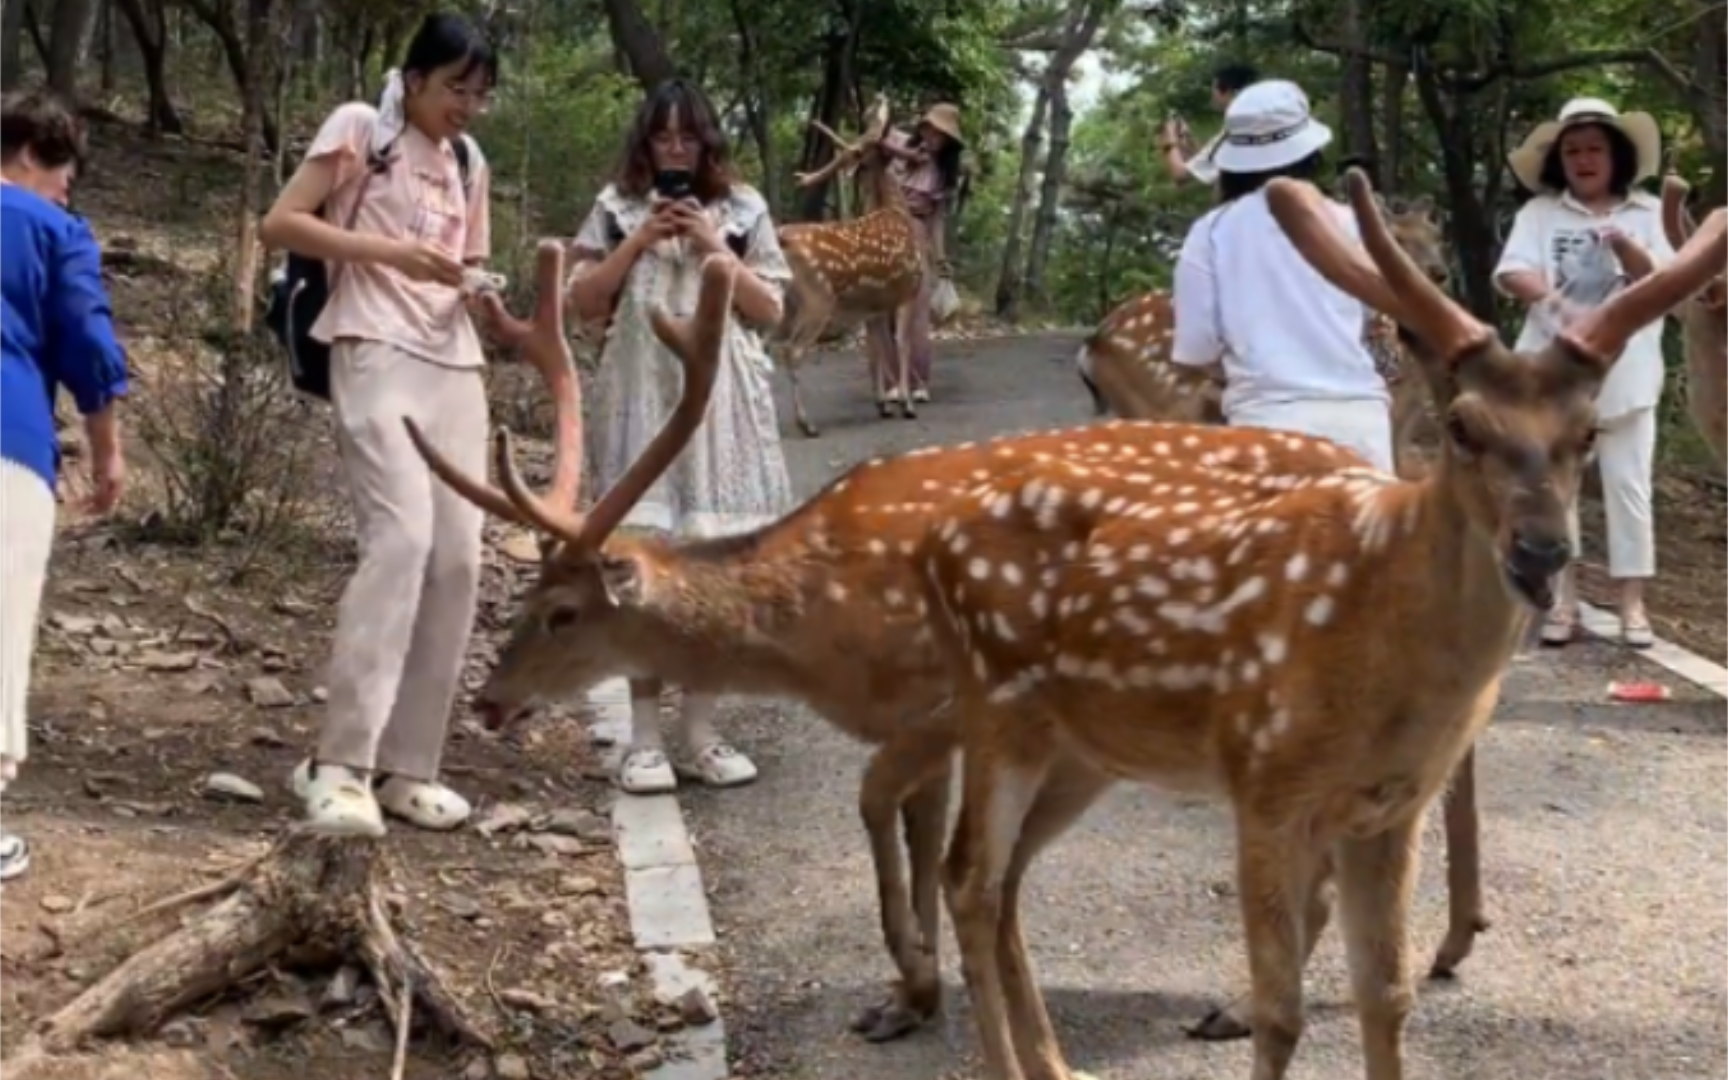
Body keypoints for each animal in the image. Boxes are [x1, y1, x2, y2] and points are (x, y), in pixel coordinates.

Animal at [774, 94, 926, 433]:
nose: (881, 97)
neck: (894, 210)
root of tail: (779, 237)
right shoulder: (909, 290)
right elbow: (904, 344)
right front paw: (906, 403)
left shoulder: (873, 305)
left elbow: (877, 349)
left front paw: (883, 403)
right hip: (818, 299)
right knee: (791, 351)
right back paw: (807, 424)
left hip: (786, 303)